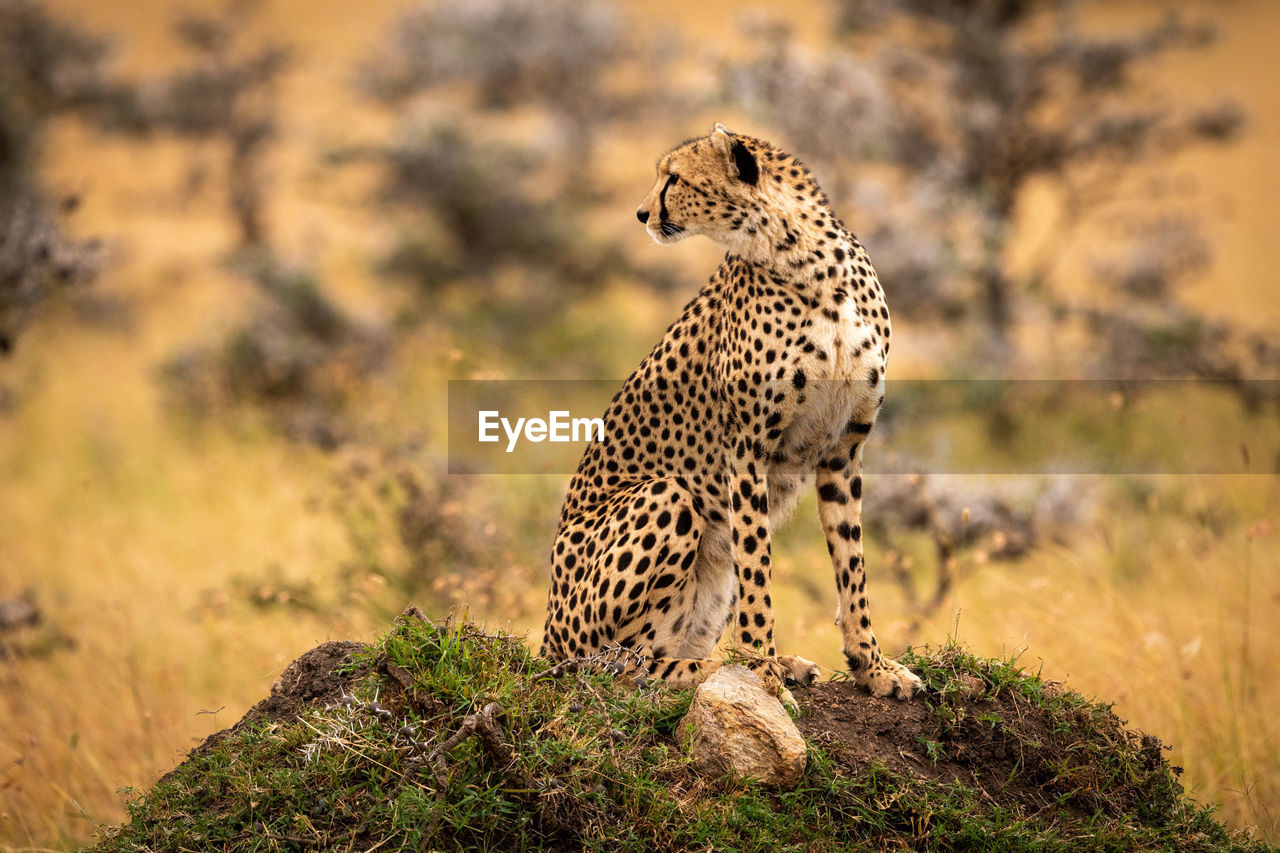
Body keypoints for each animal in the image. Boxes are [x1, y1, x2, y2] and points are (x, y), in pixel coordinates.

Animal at [540, 124, 921, 696]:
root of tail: (546, 639)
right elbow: (758, 563)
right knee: (619, 664)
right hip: (664, 499)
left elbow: (851, 564)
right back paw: (725, 668)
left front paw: (872, 667)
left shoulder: (844, 448)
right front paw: (761, 670)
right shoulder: (746, 448)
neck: (807, 264)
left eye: (674, 178)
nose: (640, 213)